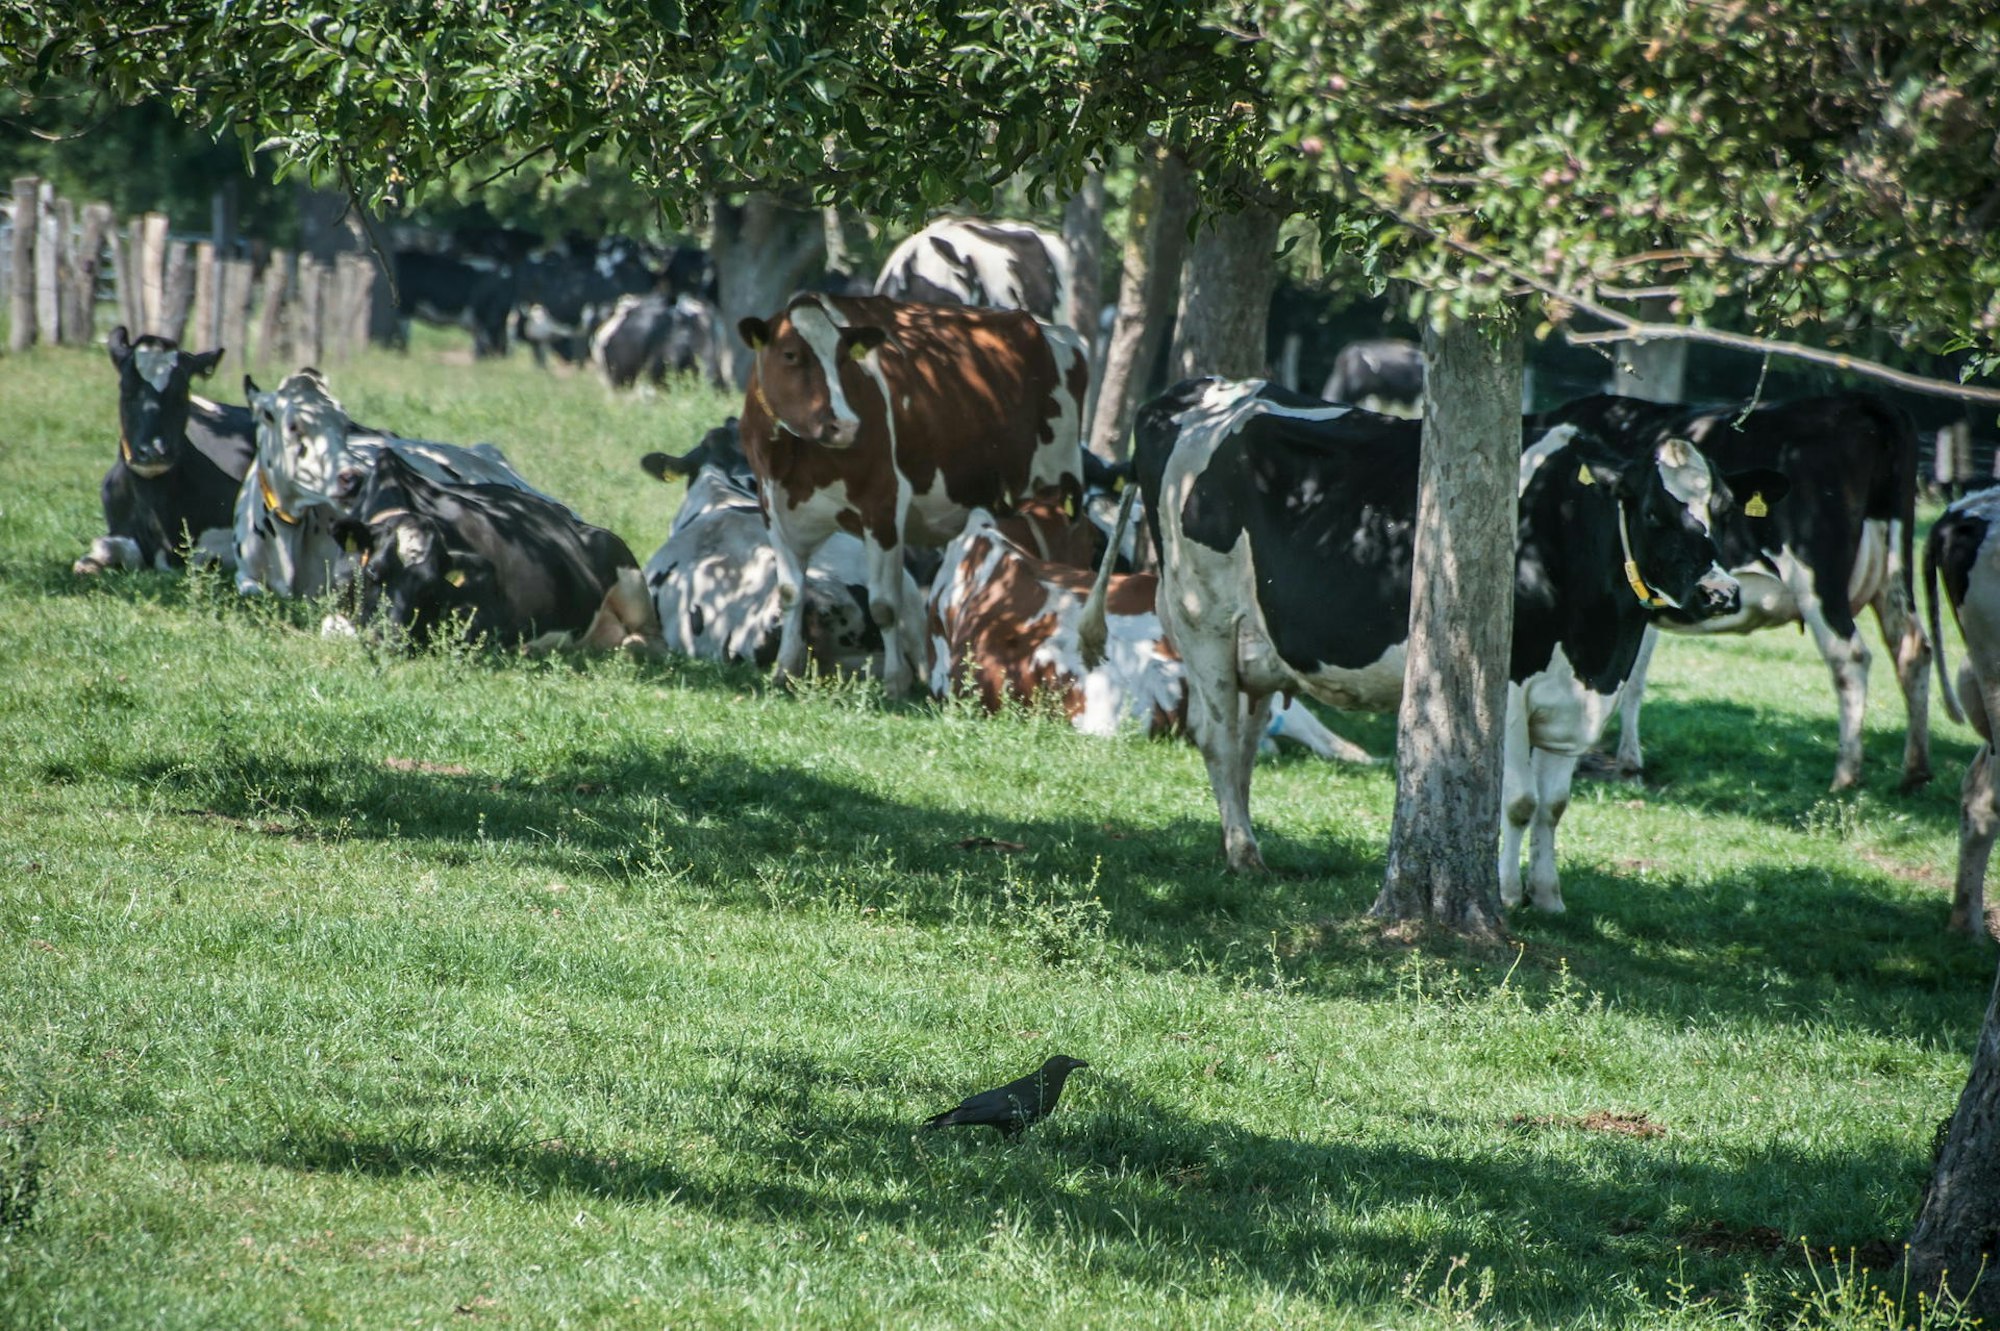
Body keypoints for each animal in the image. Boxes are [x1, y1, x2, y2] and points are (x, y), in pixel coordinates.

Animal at [735, 292, 1089, 695]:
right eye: (791, 354)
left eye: (843, 359)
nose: (845, 425)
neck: (792, 457)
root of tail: (1047, 328)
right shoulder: (774, 508)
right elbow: (791, 592)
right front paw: (784, 670)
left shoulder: (883, 504)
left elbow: (884, 604)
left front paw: (895, 681)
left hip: (1061, 485)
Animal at [1112, 377, 1785, 911]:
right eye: (1652, 512)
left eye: (1724, 509)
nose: (1720, 593)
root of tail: (1195, 390)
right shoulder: (1507, 684)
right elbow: (1518, 801)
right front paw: (1507, 895)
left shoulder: (1579, 697)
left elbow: (1555, 803)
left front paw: (1549, 897)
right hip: (1202, 620)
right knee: (1219, 738)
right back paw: (1243, 854)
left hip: (1259, 648)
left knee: (1247, 743)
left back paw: (1247, 838)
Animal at [1535, 392, 1930, 792]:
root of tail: (1860, 401)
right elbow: (1632, 678)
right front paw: (1627, 763)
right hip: (1894, 569)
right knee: (1912, 647)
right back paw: (1914, 773)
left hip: (1817, 576)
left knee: (1850, 657)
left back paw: (1846, 775)